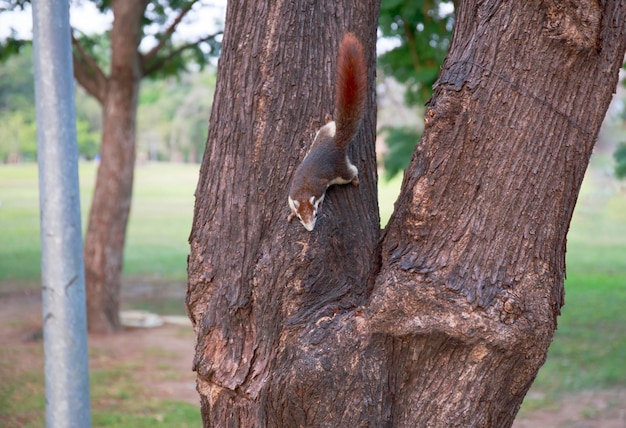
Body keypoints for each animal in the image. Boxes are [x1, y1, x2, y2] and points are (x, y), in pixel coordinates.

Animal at [286, 33, 366, 231]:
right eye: (300, 218)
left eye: (315, 214)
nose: (310, 229)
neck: (304, 190)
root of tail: (336, 142)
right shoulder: (292, 195)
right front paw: (290, 213)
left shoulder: (320, 187)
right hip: (323, 132)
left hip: (341, 171)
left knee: (352, 171)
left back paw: (355, 180)